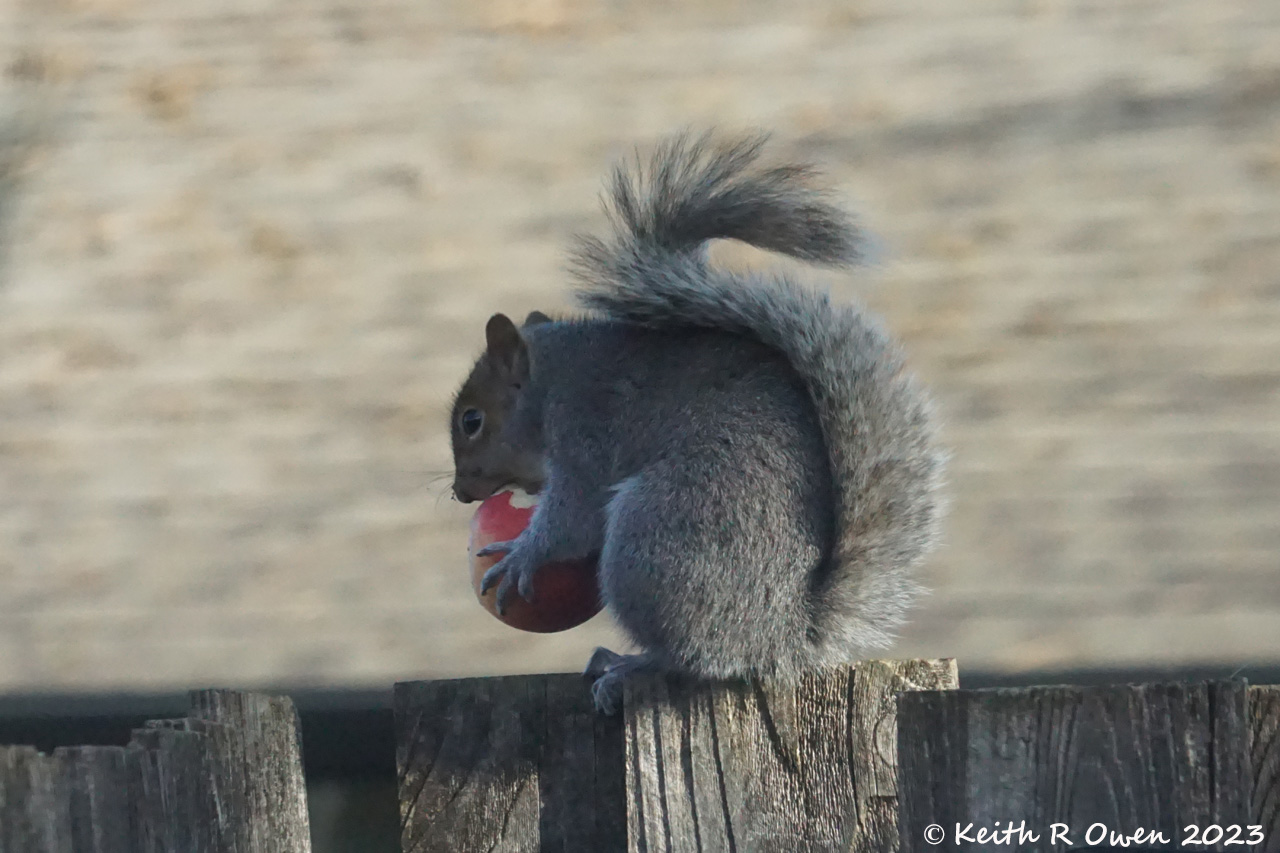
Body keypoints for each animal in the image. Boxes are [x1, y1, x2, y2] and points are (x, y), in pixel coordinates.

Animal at [449, 131, 945, 715]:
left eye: (472, 420)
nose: (459, 492)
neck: (551, 383)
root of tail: (779, 638)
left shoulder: (584, 435)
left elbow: (572, 520)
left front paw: (520, 556)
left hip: (652, 538)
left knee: (694, 660)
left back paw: (628, 666)